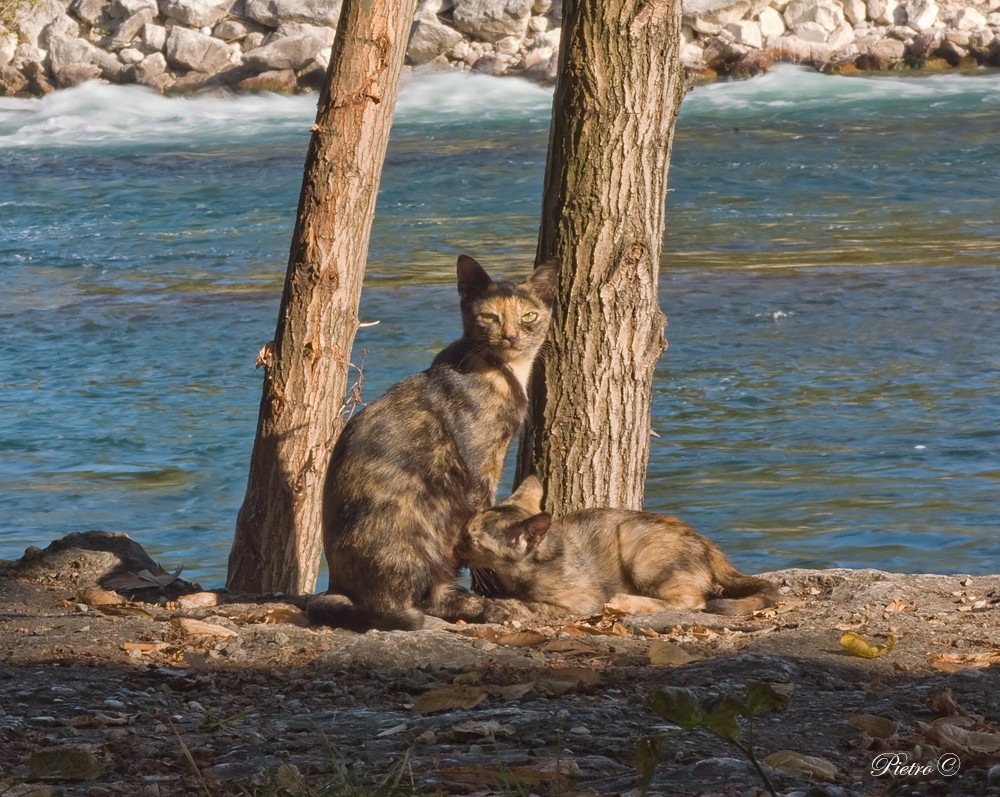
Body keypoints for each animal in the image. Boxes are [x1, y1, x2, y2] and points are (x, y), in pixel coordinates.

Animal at [308, 253, 560, 628]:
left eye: (529, 315)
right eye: (490, 317)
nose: (511, 336)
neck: (506, 371)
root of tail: (337, 586)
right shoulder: (480, 465)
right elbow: (480, 520)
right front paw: (489, 582)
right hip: (422, 517)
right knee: (421, 602)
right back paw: (481, 606)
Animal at [460, 476, 780, 620]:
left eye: (470, 538)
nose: (455, 541)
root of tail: (707, 544)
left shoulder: (582, 602)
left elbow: (529, 605)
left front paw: (498, 605)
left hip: (636, 546)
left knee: (693, 600)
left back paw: (625, 602)